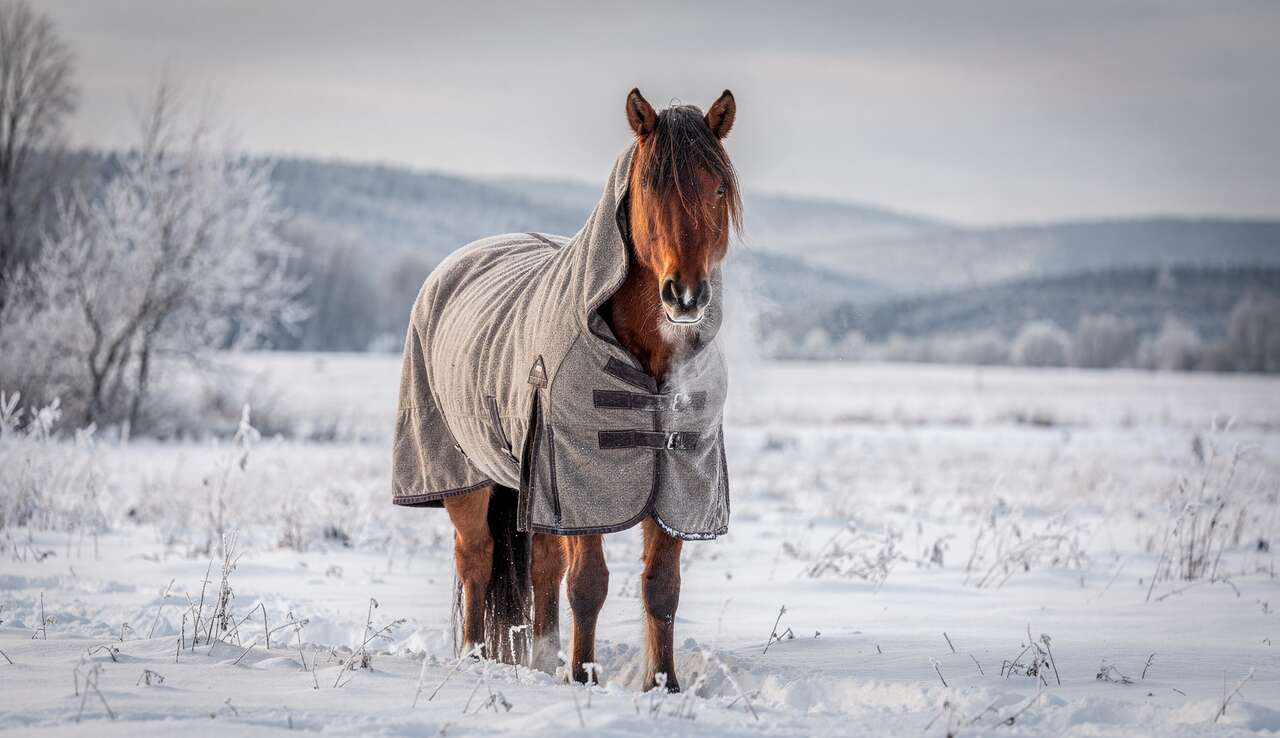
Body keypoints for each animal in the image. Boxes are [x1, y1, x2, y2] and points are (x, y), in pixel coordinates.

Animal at [397, 87, 740, 693]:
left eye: (718, 186)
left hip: (530, 486)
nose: (685, 296)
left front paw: (664, 686)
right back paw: (474, 659)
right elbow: (589, 584)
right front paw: (583, 678)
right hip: (466, 477)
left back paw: (539, 656)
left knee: (541, 567)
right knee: (477, 559)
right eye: (648, 186)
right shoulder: (579, 479)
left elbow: (661, 587)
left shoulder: (678, 481)